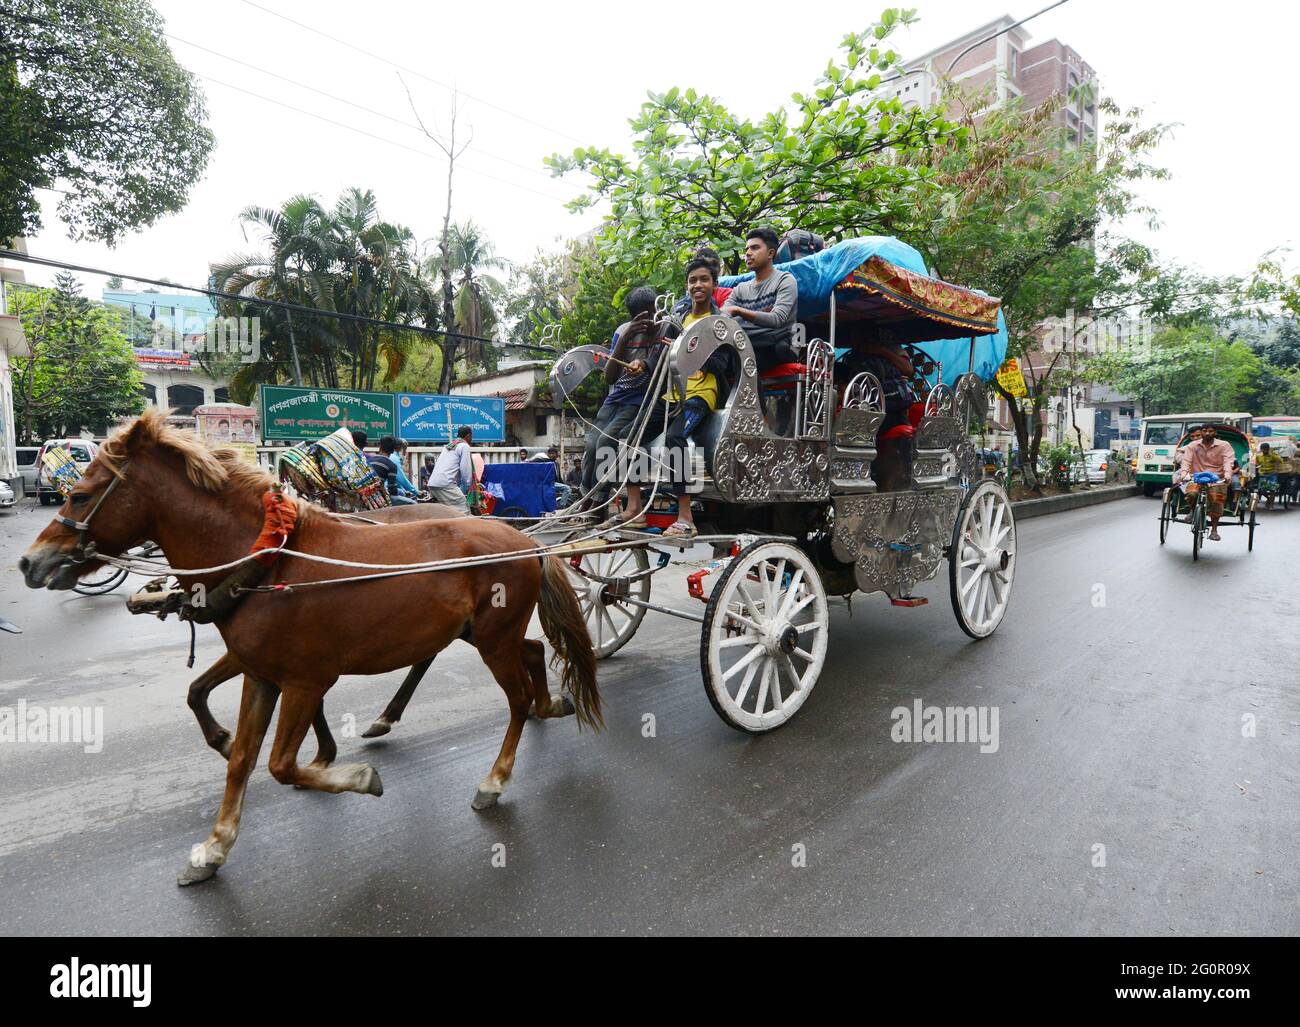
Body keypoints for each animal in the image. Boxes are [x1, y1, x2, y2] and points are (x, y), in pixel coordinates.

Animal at [21, 409, 600, 885]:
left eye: (79, 494)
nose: (30, 562)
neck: (265, 561)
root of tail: (526, 541)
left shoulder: (305, 680)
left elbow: (281, 764)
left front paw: (357, 777)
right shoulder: (260, 674)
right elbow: (240, 756)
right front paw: (214, 847)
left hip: (492, 640)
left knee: (515, 698)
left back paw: (495, 778)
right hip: (479, 634)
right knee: (529, 652)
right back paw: (544, 704)